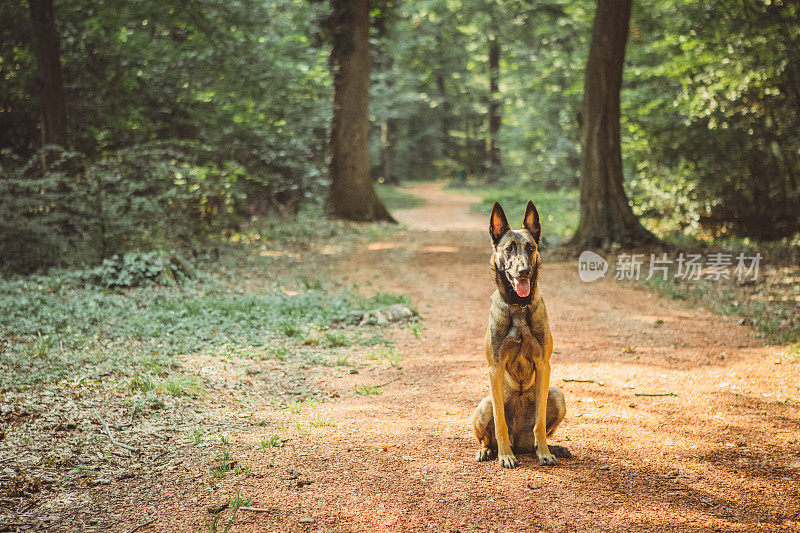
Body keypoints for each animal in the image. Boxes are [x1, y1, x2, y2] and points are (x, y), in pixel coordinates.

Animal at [468, 202, 568, 468]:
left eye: (530, 247)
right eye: (509, 248)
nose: (523, 271)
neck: (519, 307)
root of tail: (518, 442)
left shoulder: (543, 365)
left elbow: (540, 422)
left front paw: (544, 453)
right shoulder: (495, 368)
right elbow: (500, 422)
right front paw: (504, 456)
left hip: (557, 395)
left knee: (539, 432)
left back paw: (551, 448)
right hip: (484, 404)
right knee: (488, 436)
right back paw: (490, 451)